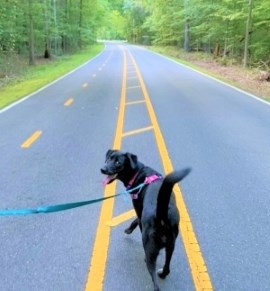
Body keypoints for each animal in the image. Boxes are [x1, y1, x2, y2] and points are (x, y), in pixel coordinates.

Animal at [100, 151, 191, 291]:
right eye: (108, 159)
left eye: (118, 162)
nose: (103, 169)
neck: (138, 173)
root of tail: (161, 216)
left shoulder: (138, 208)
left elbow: (136, 220)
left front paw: (128, 229)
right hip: (171, 245)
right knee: (167, 267)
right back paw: (163, 274)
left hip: (150, 250)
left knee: (154, 280)